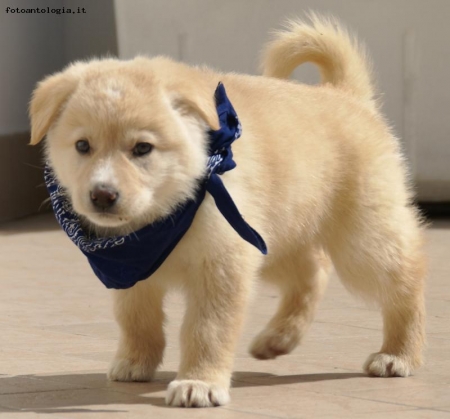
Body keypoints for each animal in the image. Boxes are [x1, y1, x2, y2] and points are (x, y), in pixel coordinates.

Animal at [29, 15, 426, 407]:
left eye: (142, 148)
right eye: (83, 146)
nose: (102, 195)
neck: (165, 213)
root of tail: (344, 93)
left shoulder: (222, 265)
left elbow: (207, 330)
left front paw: (199, 382)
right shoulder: (132, 272)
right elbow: (136, 320)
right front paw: (135, 361)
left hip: (361, 240)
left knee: (407, 279)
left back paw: (399, 354)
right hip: (274, 239)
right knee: (312, 272)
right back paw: (278, 338)